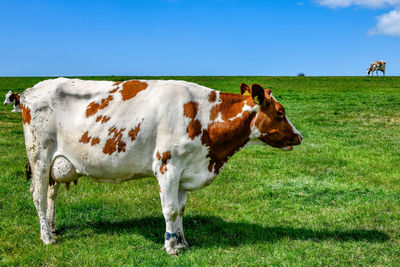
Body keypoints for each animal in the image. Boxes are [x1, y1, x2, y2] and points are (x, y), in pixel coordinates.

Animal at [18, 77, 300, 255]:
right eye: (281, 112)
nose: (299, 136)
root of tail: (30, 90)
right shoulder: (167, 167)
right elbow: (170, 210)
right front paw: (171, 246)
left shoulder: (185, 169)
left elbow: (181, 209)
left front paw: (183, 242)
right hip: (39, 156)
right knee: (38, 196)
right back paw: (47, 237)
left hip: (56, 164)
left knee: (51, 195)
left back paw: (53, 228)